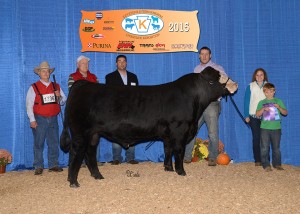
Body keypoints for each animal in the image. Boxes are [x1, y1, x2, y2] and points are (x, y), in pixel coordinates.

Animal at [61, 66, 238, 186]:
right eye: (215, 79)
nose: (235, 84)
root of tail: (82, 84)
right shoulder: (179, 130)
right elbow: (178, 151)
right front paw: (181, 172)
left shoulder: (168, 134)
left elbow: (167, 150)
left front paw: (168, 168)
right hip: (81, 132)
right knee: (77, 152)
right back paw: (73, 181)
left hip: (93, 134)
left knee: (89, 153)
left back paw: (97, 176)